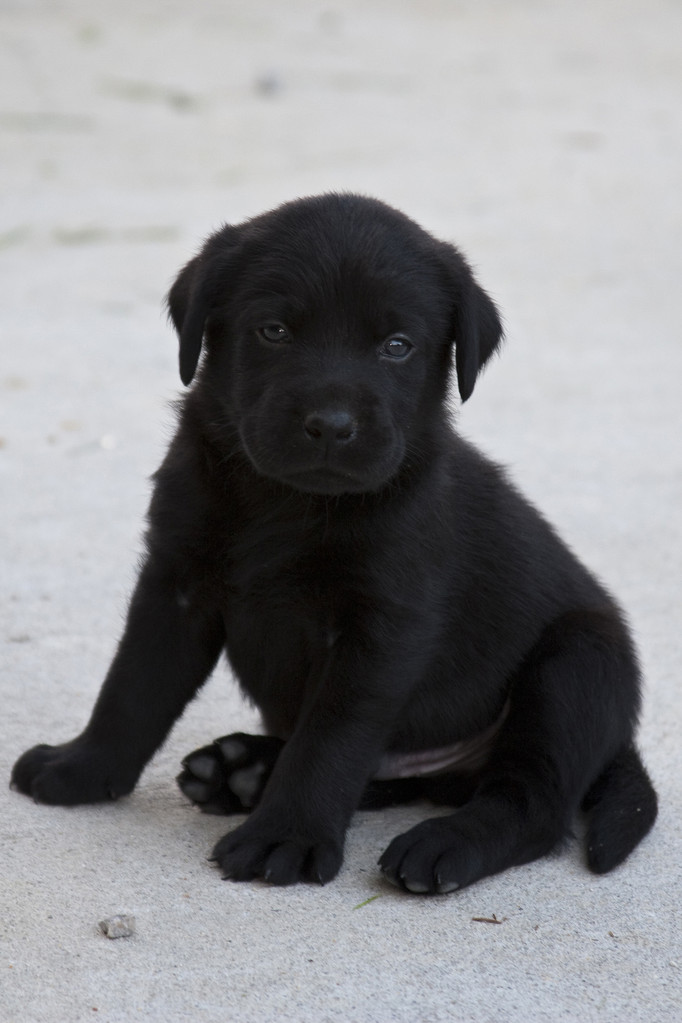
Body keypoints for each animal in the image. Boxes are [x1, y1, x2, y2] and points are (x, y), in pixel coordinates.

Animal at [11, 193, 657, 893]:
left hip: (577, 665)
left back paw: (441, 843)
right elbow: (133, 685)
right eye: (274, 331)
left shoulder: (381, 625)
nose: (331, 425)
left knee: (530, 801)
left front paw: (285, 835)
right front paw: (80, 767)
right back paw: (240, 769)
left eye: (398, 346)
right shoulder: (175, 583)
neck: (287, 505)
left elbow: (332, 737)